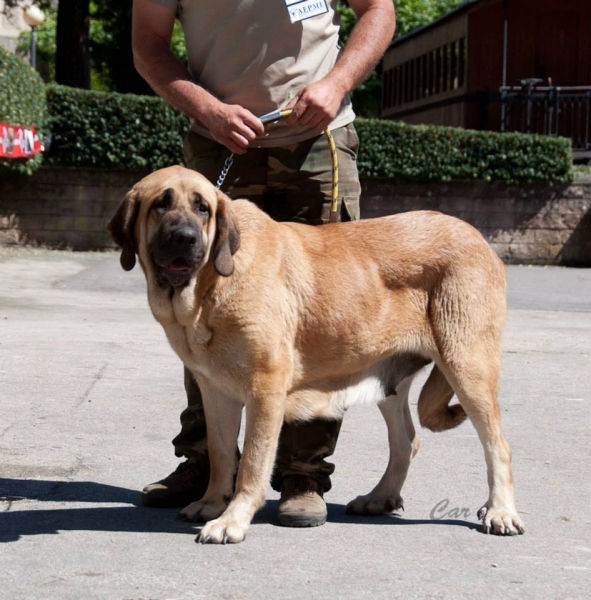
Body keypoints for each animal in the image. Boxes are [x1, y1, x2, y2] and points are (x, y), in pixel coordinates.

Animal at [108, 164, 524, 544]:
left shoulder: (265, 391)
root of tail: (479, 238)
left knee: (498, 447)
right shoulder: (216, 393)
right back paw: (380, 498)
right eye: (160, 205)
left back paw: (501, 512)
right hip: (388, 380)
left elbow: (253, 462)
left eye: (203, 208)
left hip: (468, 368)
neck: (210, 287)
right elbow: (222, 454)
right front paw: (211, 504)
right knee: (406, 441)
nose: (185, 238)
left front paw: (232, 520)